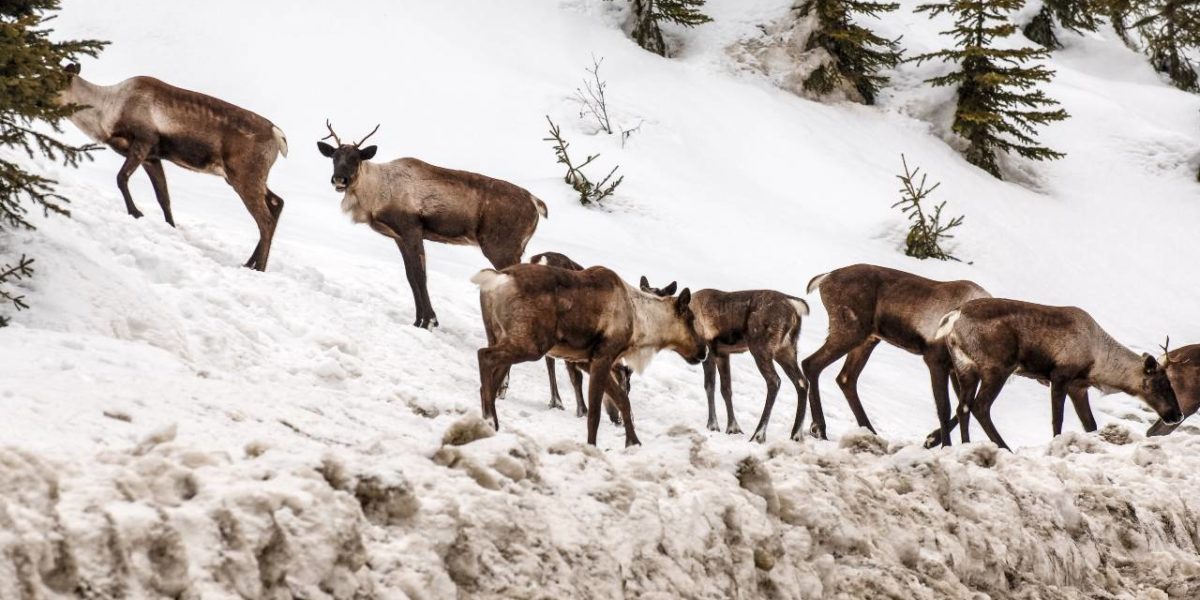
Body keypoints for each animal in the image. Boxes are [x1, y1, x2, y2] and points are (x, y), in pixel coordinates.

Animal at [59, 63, 290, 270]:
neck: (107, 110)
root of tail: (277, 135)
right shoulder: (152, 158)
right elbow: (164, 198)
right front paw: (171, 227)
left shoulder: (143, 141)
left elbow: (121, 178)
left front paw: (136, 212)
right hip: (242, 177)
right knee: (277, 203)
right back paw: (249, 263)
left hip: (244, 176)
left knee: (265, 220)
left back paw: (259, 268)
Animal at [316, 122, 547, 328]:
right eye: (334, 157)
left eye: (356, 159)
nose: (339, 179)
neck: (374, 196)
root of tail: (537, 203)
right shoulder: (399, 237)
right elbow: (410, 276)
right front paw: (419, 320)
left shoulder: (411, 230)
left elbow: (420, 276)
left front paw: (429, 321)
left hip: (501, 248)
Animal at [472, 265, 705, 448]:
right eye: (691, 319)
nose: (703, 351)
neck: (639, 321)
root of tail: (496, 279)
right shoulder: (603, 356)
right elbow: (595, 413)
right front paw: (592, 446)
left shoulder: (589, 361)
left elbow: (623, 401)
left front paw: (633, 442)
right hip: (531, 344)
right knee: (483, 355)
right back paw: (490, 419)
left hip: (499, 335)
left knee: (490, 379)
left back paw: (490, 423)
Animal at [801, 264, 988, 446]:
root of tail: (824, 279)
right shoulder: (935, 359)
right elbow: (945, 407)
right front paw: (940, 444)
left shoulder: (956, 369)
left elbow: (964, 407)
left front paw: (934, 440)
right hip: (851, 331)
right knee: (811, 363)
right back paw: (820, 429)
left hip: (869, 339)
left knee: (845, 378)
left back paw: (870, 432)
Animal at [936, 297, 1180, 448]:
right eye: (1161, 383)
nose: (1177, 415)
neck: (1098, 359)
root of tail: (953, 317)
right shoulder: (1060, 376)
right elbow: (1058, 419)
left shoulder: (1078, 387)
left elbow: (1090, 424)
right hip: (997, 368)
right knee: (980, 406)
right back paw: (1005, 448)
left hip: (965, 368)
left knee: (963, 408)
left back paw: (966, 446)